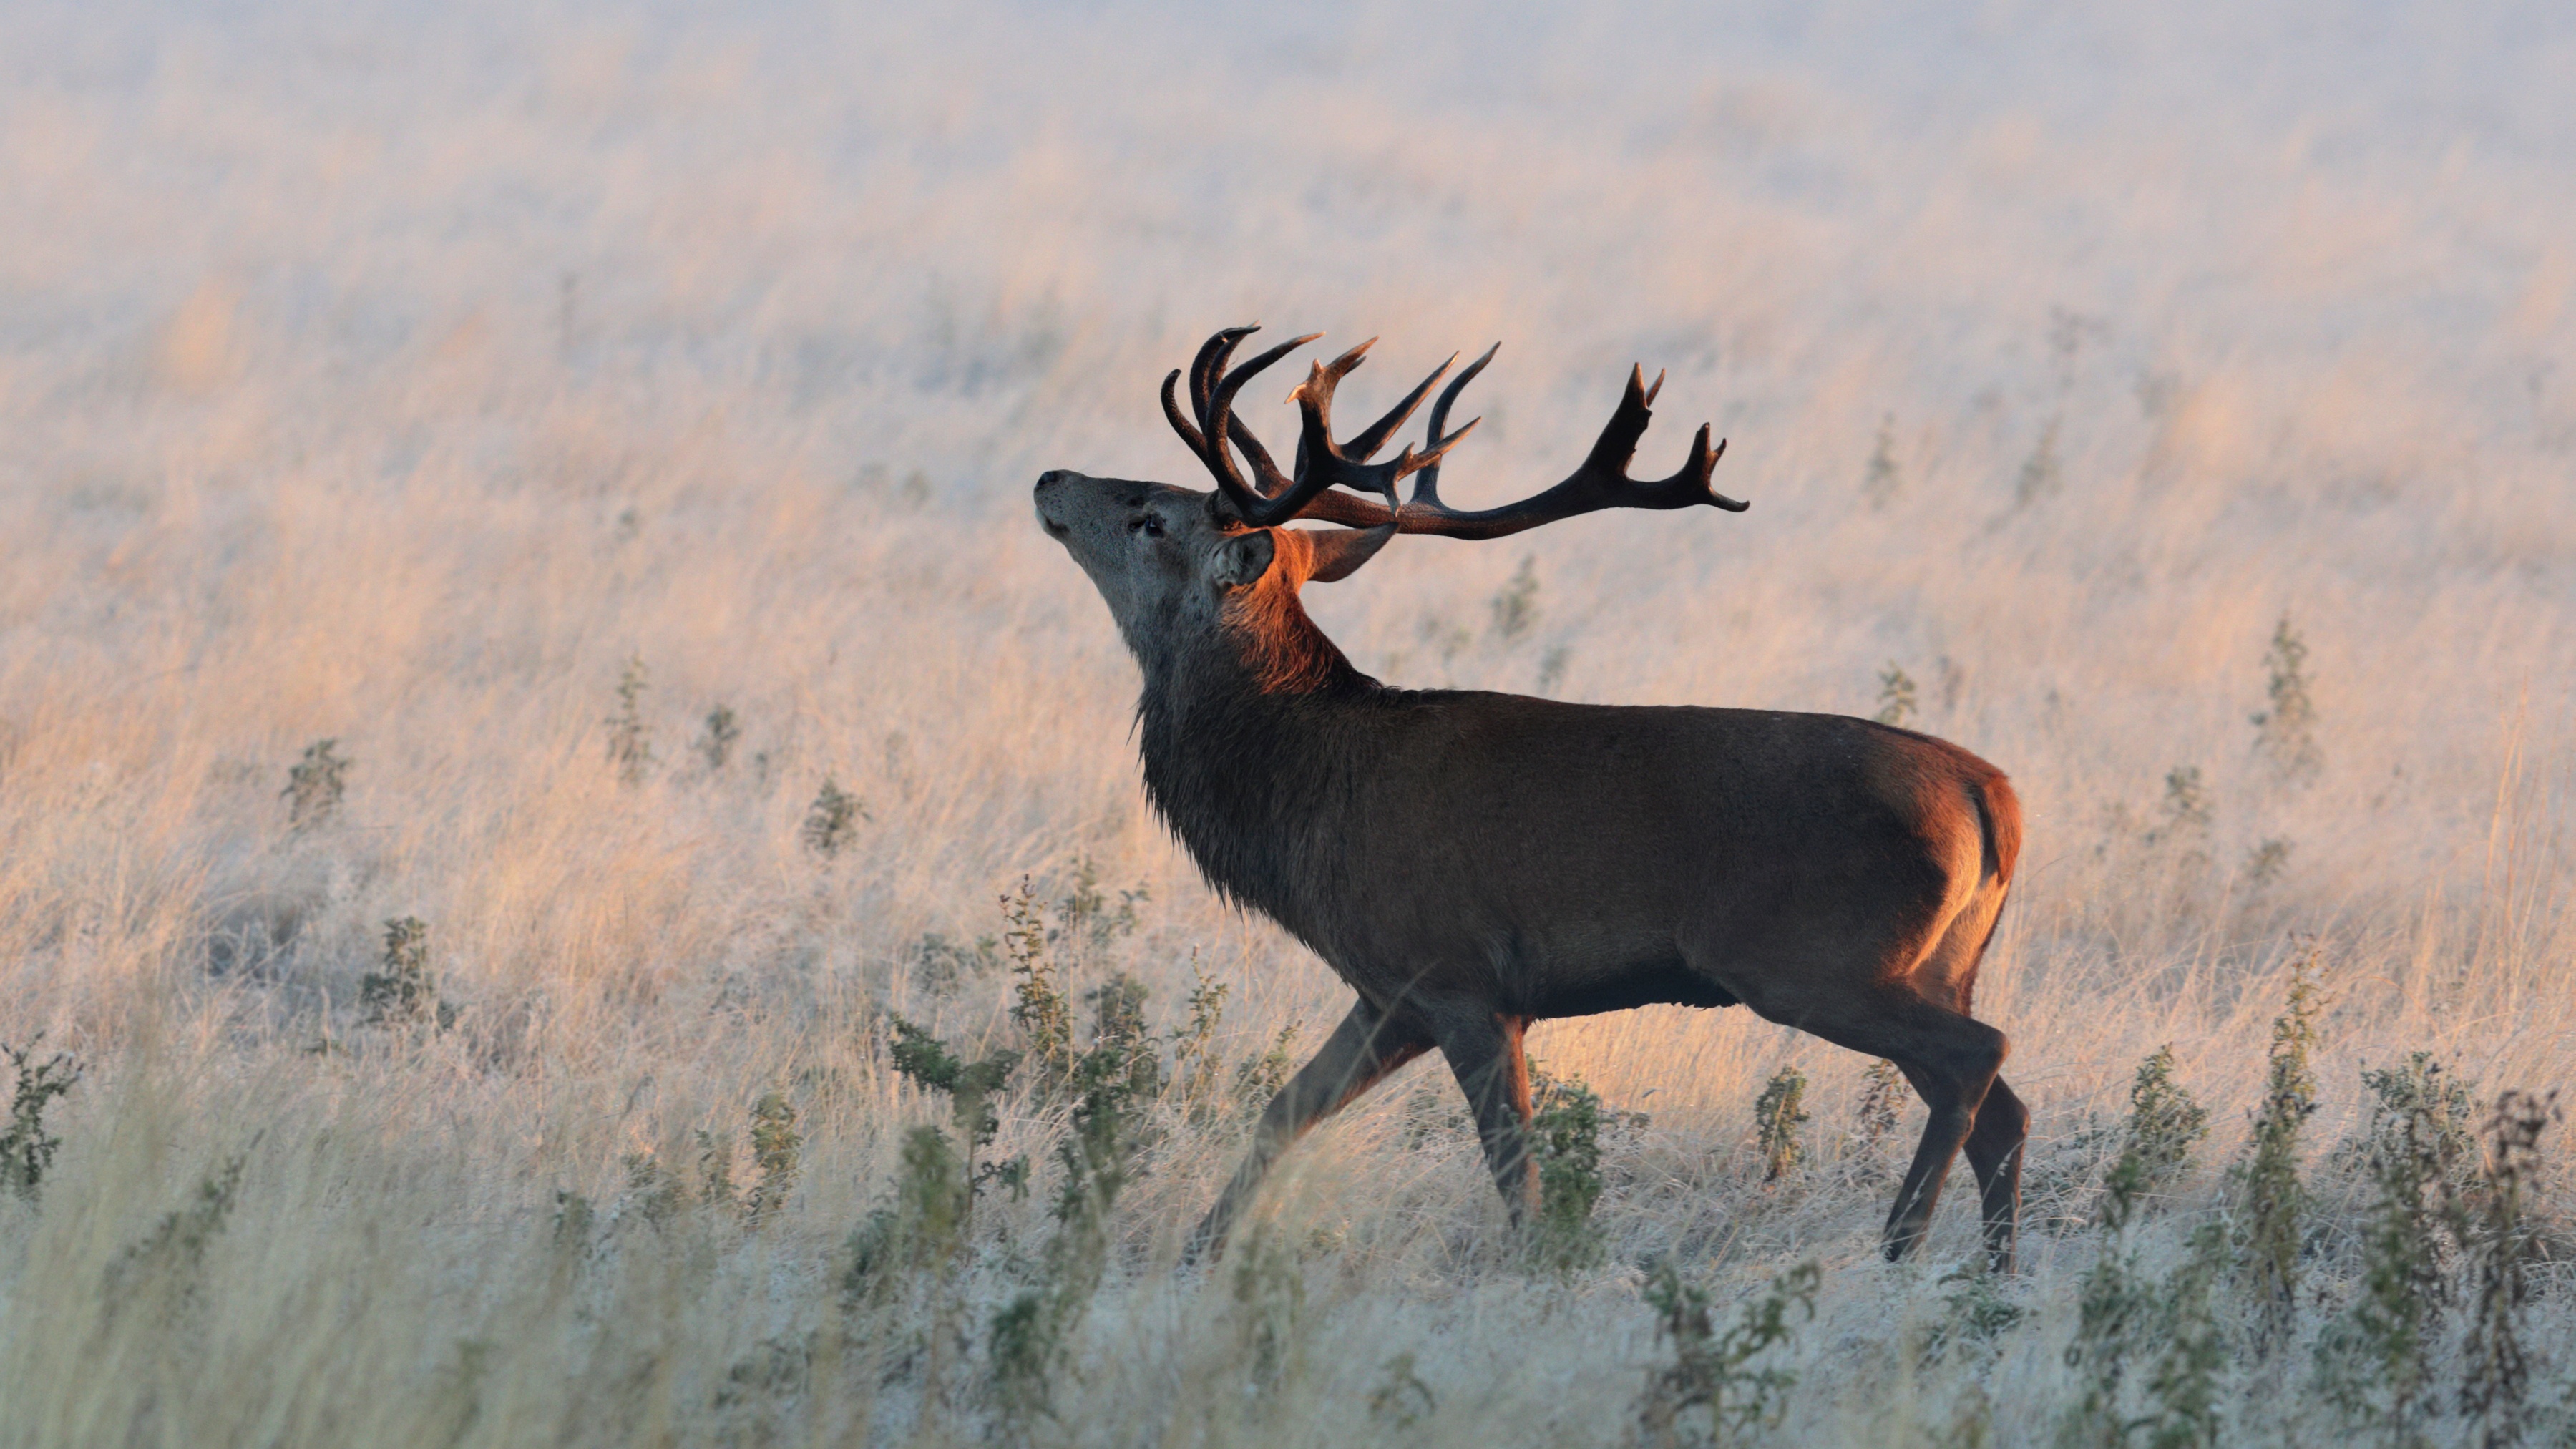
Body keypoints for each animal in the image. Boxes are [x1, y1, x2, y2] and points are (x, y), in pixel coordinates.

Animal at [1030, 325, 2029, 1263]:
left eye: (1149, 517)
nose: (1049, 477)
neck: (1304, 796)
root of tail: (1996, 800)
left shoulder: (1462, 974)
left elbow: (1516, 1173)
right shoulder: (1387, 991)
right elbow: (1283, 1111)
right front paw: (1194, 1256)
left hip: (1813, 957)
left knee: (1979, 1059)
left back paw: (1903, 1245)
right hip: (1935, 964)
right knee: (2003, 1111)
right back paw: (1989, 1279)